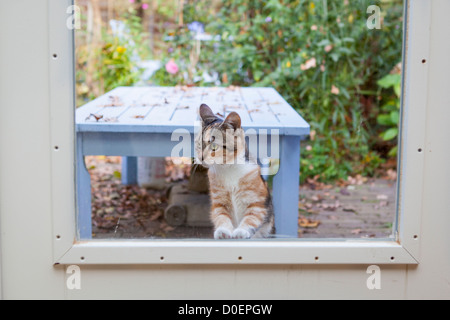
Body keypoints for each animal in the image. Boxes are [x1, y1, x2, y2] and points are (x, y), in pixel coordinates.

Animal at [196, 104, 276, 239]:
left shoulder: (258, 202)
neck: (228, 169)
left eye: (214, 146)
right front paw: (223, 231)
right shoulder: (219, 202)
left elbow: (252, 217)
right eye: (198, 144)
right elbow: (222, 217)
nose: (200, 157)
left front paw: (241, 231)